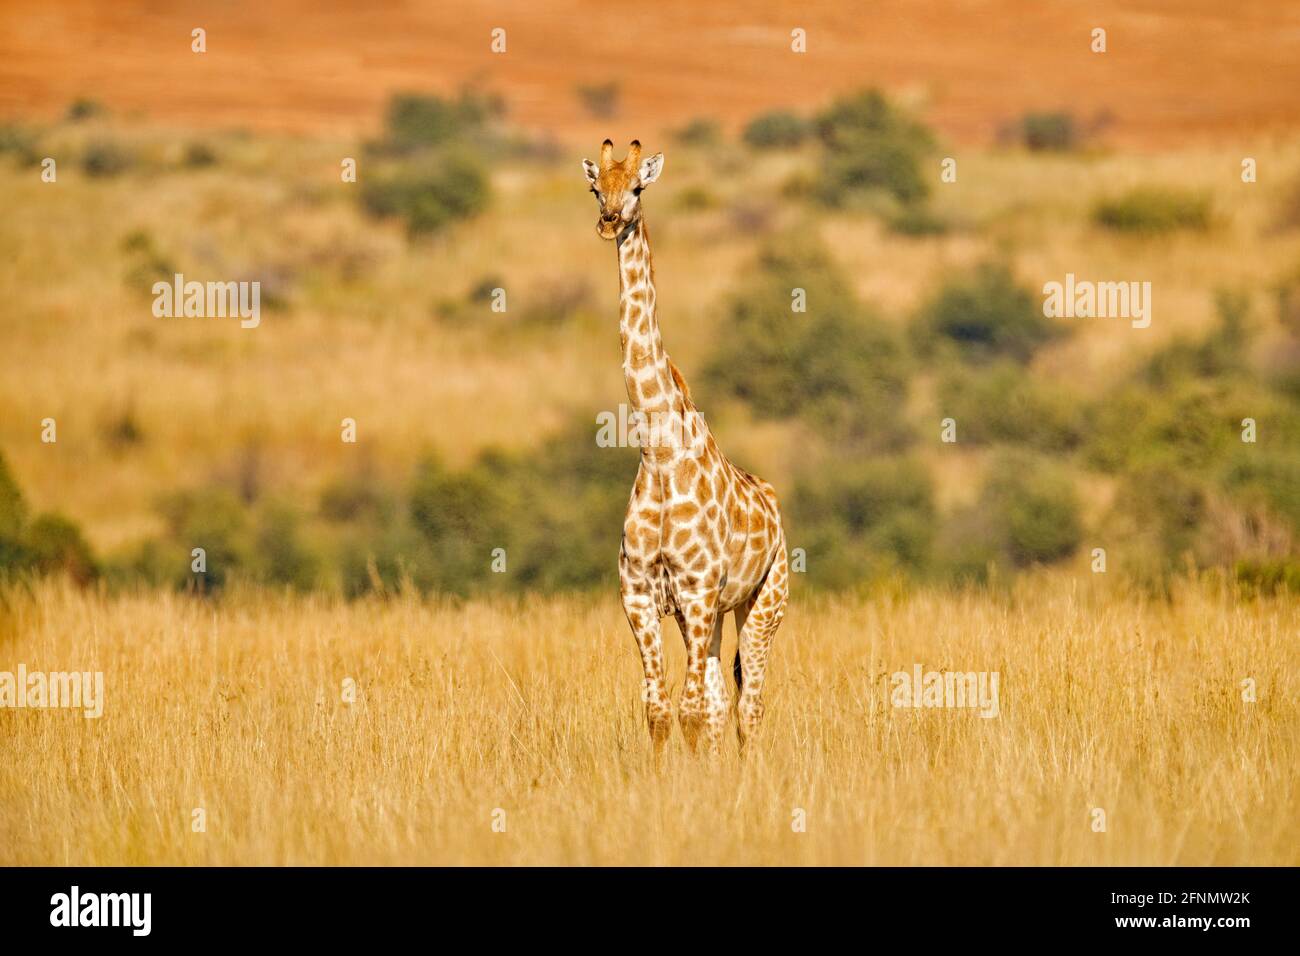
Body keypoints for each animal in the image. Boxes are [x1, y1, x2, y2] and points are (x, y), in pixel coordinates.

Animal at [582, 139, 789, 757]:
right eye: (596, 187)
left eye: (638, 187)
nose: (610, 220)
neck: (659, 454)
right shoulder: (640, 595)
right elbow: (659, 707)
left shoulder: (697, 591)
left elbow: (693, 709)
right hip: (717, 613)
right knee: (723, 698)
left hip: (763, 602)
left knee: (749, 704)